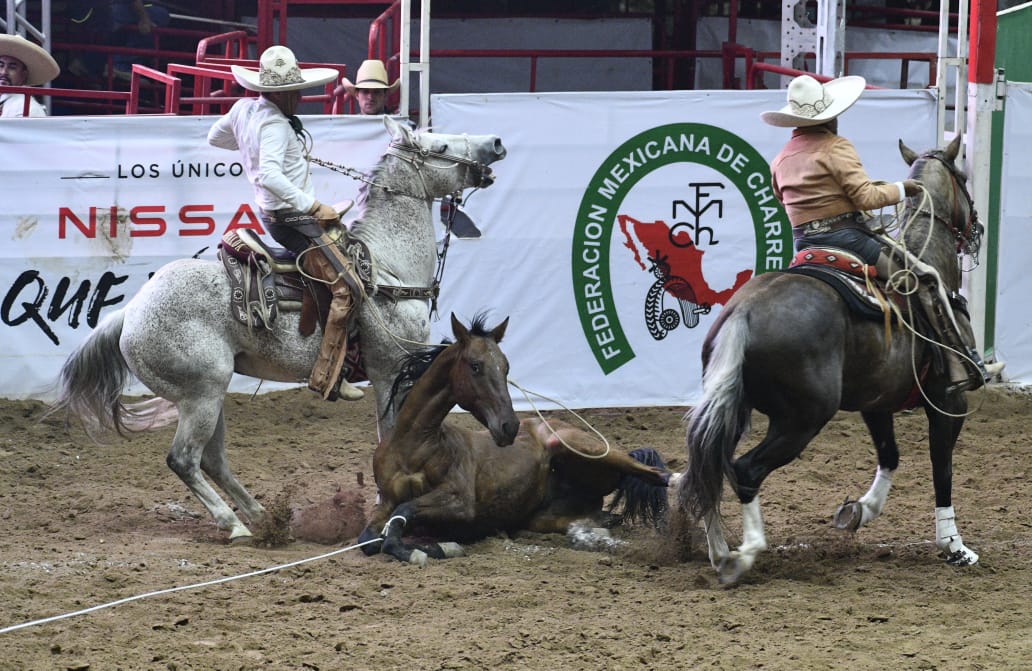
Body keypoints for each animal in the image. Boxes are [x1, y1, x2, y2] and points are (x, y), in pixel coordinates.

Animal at [49, 116, 507, 536]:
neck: (388, 269)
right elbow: (391, 435)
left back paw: (262, 516)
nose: (497, 142)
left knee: (212, 459)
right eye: (440, 145)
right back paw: (233, 523)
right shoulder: (390, 371)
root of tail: (130, 312)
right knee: (184, 459)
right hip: (201, 393)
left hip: (208, 394)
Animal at [361, 313, 668, 565]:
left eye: (506, 366)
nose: (509, 426)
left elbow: (403, 514)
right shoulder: (386, 500)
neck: (414, 446)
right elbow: (370, 539)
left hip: (582, 447)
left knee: (656, 474)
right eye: (475, 366)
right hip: (545, 518)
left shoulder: (459, 500)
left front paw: (435, 548)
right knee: (593, 521)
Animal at [676, 134, 982, 578]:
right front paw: (954, 545)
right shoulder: (947, 400)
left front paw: (860, 511)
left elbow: (890, 456)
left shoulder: (877, 402)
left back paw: (719, 552)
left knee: (710, 465)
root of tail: (744, 312)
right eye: (964, 178)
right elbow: (942, 468)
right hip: (803, 418)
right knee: (745, 471)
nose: (976, 228)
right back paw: (747, 552)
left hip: (733, 408)